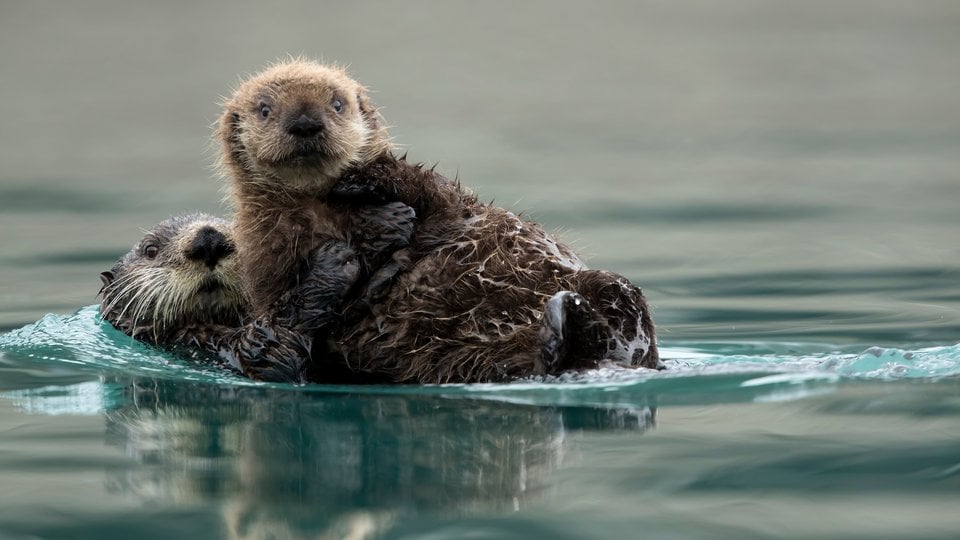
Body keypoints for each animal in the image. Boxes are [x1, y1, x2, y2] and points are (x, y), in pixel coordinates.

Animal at [217, 59, 661, 384]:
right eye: (265, 110)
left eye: (338, 104)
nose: (306, 123)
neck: (321, 209)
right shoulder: (267, 257)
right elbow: (281, 338)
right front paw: (345, 260)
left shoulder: (449, 204)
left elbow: (434, 193)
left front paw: (366, 187)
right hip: (477, 360)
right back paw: (558, 329)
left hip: (611, 294)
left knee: (625, 314)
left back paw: (571, 313)